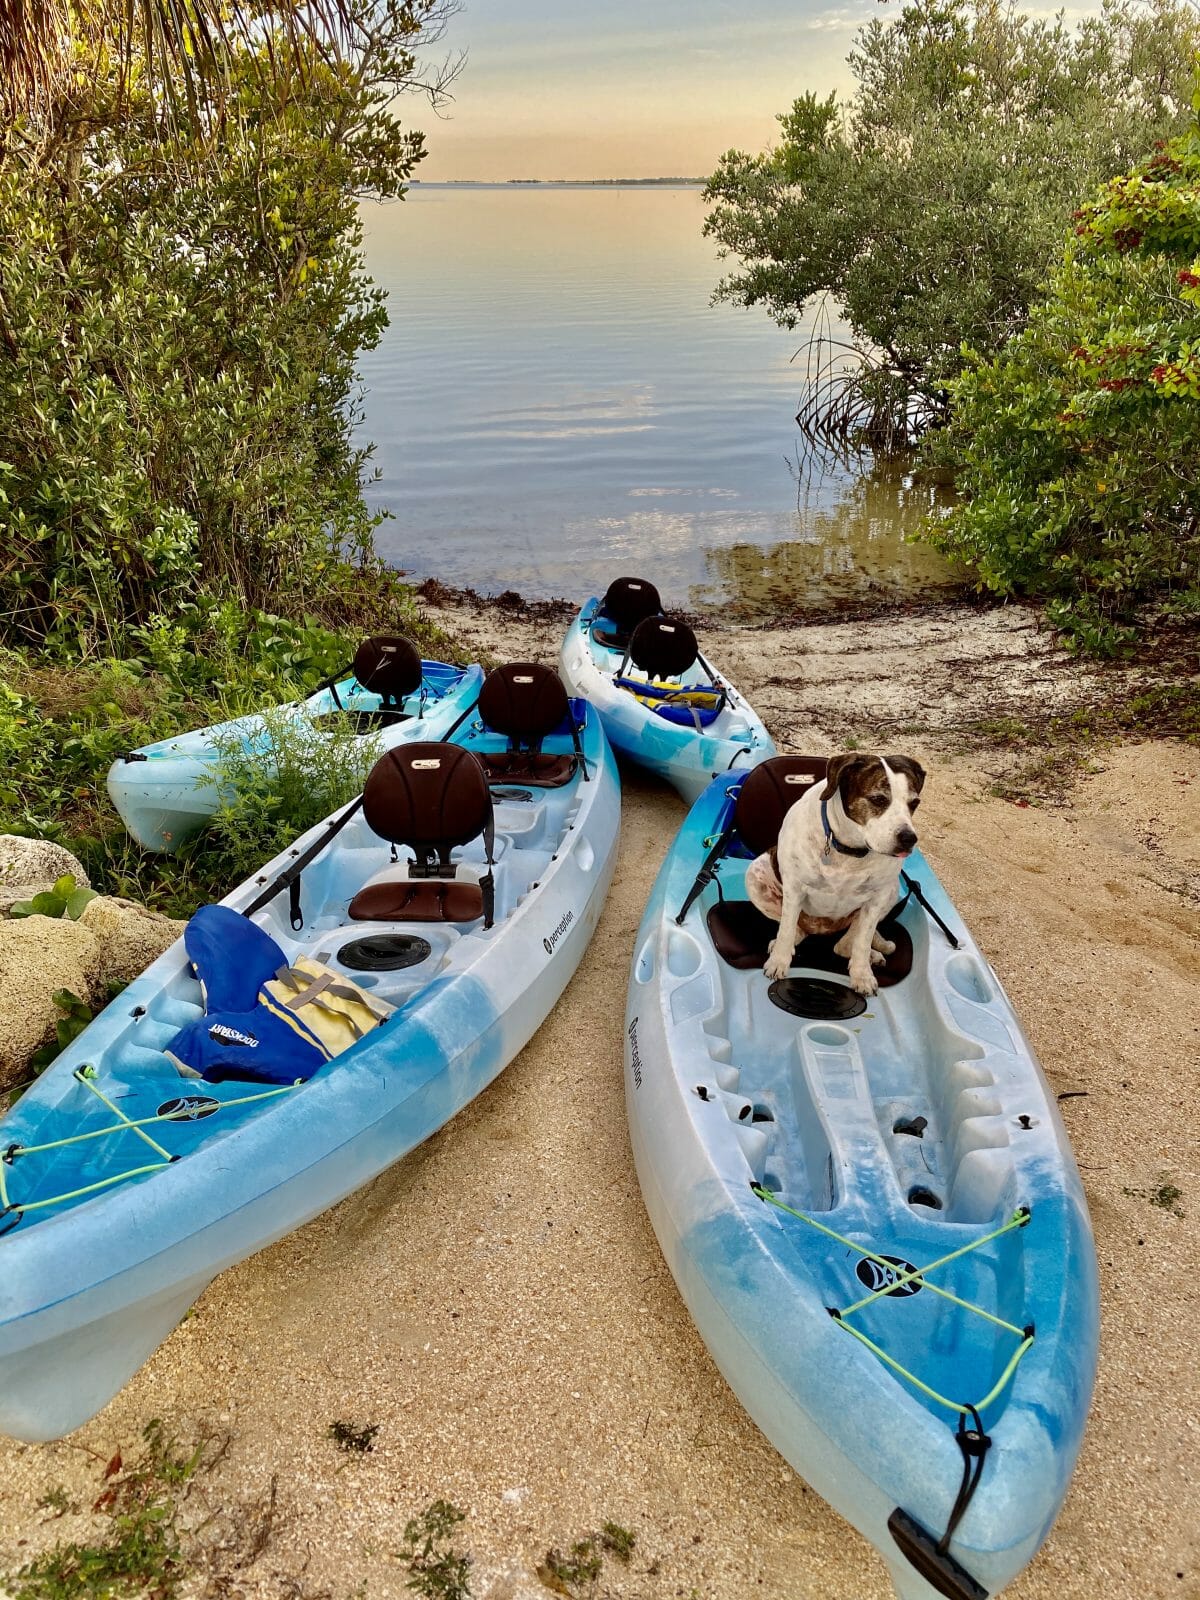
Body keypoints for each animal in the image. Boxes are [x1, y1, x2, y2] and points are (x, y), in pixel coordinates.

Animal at [752, 752, 928, 998]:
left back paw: (871, 955)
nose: (909, 838)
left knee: (845, 945)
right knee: (795, 929)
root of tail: (822, 929)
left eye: (914, 803)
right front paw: (778, 962)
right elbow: (786, 929)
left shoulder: (877, 898)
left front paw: (862, 975)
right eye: (878, 799)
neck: (849, 848)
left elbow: (862, 942)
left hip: (891, 891)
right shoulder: (794, 887)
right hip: (756, 873)